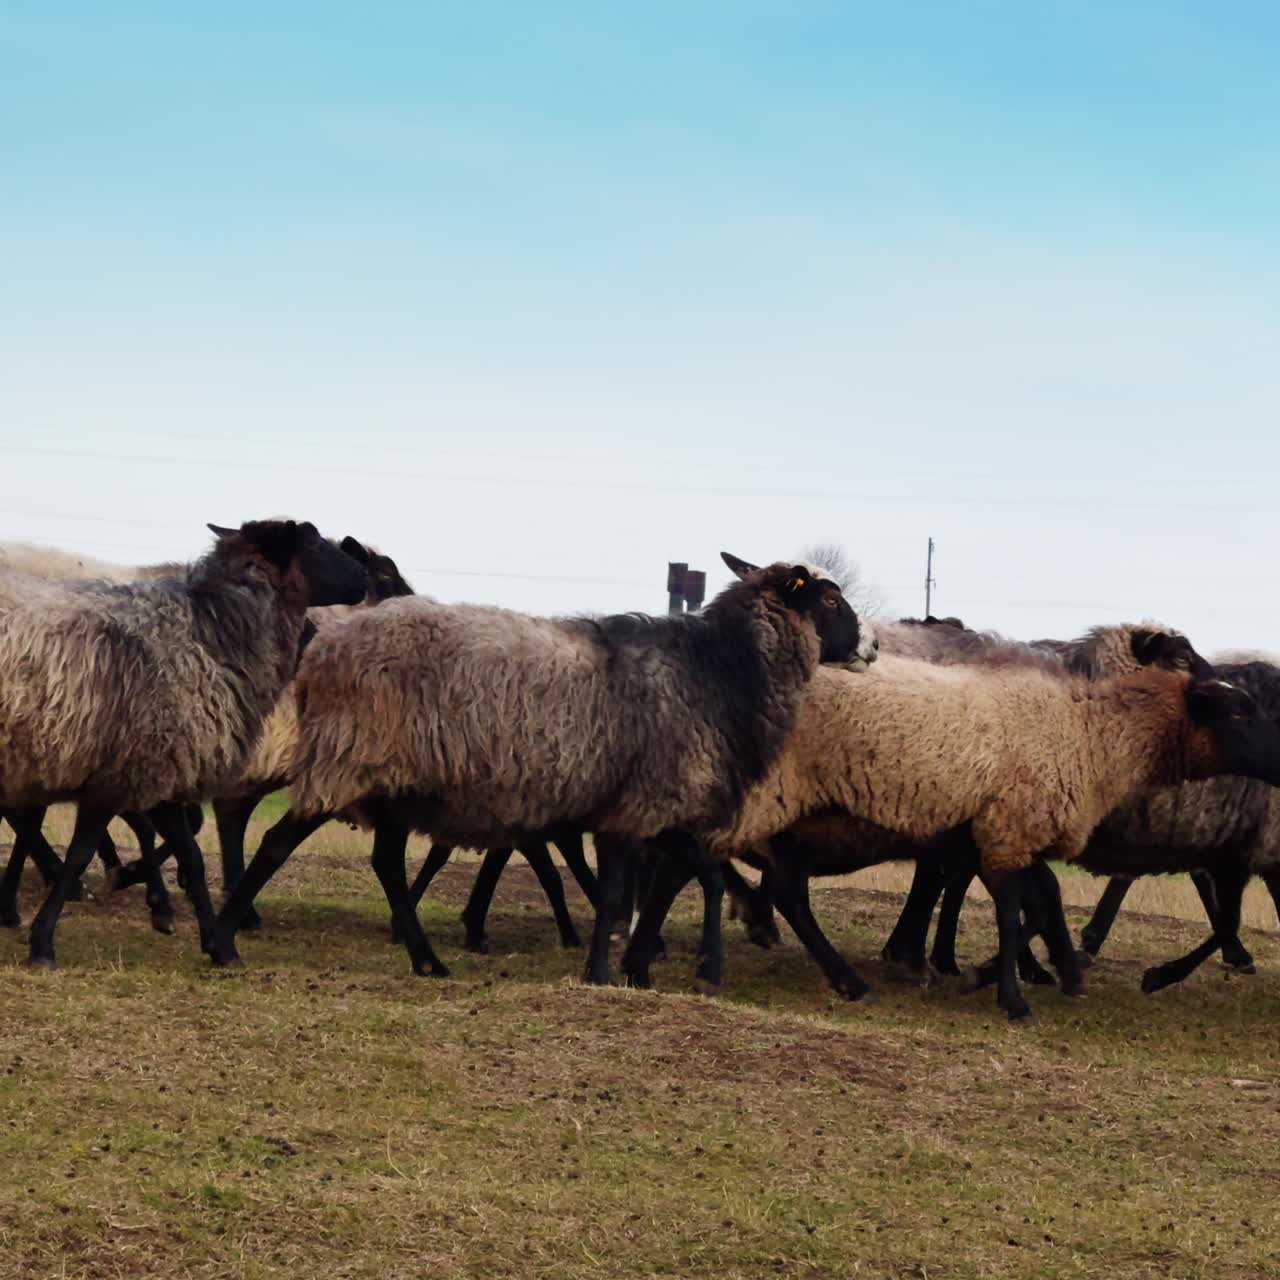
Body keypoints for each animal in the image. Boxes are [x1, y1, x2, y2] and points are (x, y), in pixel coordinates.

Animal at [0, 519, 368, 967]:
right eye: (313, 541)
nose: (363, 576)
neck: (208, 638)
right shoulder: (123, 772)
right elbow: (80, 854)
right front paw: (44, 942)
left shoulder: (163, 767)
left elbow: (191, 855)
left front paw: (218, 945)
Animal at [204, 552, 874, 985]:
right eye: (830, 599)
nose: (870, 648)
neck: (723, 671)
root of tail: (322, 648)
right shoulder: (645, 804)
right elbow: (625, 893)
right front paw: (612, 972)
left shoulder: (650, 807)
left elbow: (685, 882)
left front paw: (639, 967)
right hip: (350, 758)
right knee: (277, 842)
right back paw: (222, 942)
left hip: (393, 780)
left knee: (387, 865)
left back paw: (427, 961)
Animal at [695, 655, 1280, 1019]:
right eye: (1239, 711)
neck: (1091, 736)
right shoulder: (1007, 829)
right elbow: (1013, 910)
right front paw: (1011, 996)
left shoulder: (1002, 828)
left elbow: (1044, 900)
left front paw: (1052, 971)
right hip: (763, 796)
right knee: (728, 870)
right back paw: (727, 960)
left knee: (782, 888)